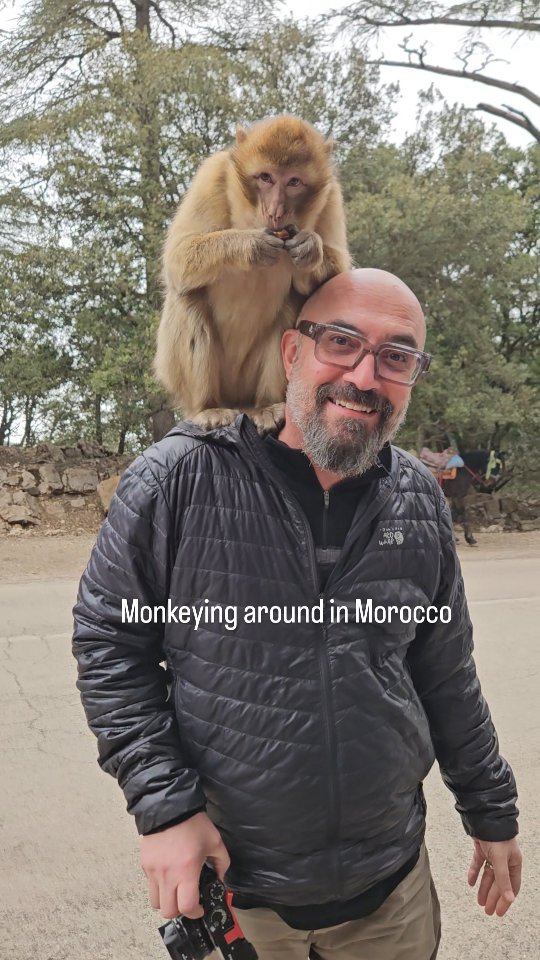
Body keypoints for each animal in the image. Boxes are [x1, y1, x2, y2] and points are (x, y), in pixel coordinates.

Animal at [154, 115, 351, 432]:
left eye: (293, 181)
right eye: (266, 178)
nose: (275, 211)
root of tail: (239, 400)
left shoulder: (331, 194)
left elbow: (340, 282)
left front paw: (310, 250)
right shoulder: (213, 174)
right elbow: (177, 258)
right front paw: (250, 245)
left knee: (293, 304)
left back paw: (269, 406)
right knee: (188, 297)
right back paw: (207, 407)